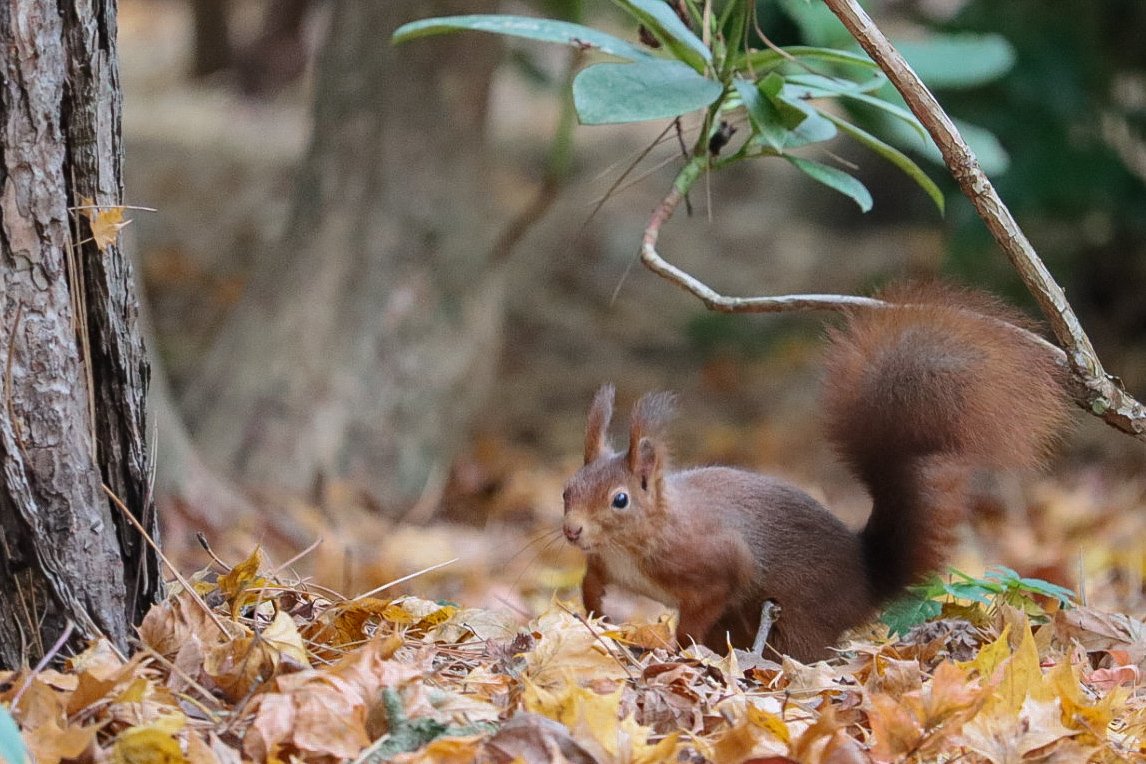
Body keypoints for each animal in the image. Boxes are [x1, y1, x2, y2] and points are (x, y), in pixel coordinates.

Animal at [559, 286, 1068, 664]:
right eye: (567, 490)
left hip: (798, 616)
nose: (571, 531)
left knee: (803, 651)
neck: (636, 540)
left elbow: (705, 604)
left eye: (620, 499)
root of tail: (867, 578)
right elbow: (591, 581)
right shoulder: (606, 563)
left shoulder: (714, 561)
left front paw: (679, 647)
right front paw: (595, 608)